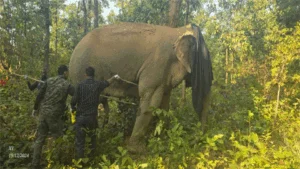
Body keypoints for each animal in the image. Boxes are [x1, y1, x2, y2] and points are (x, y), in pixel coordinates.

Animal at [68, 21, 213, 152]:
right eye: (207, 60)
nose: (194, 140)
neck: (179, 31)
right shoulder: (157, 66)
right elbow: (150, 102)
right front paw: (137, 149)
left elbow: (164, 103)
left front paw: (166, 138)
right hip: (80, 72)